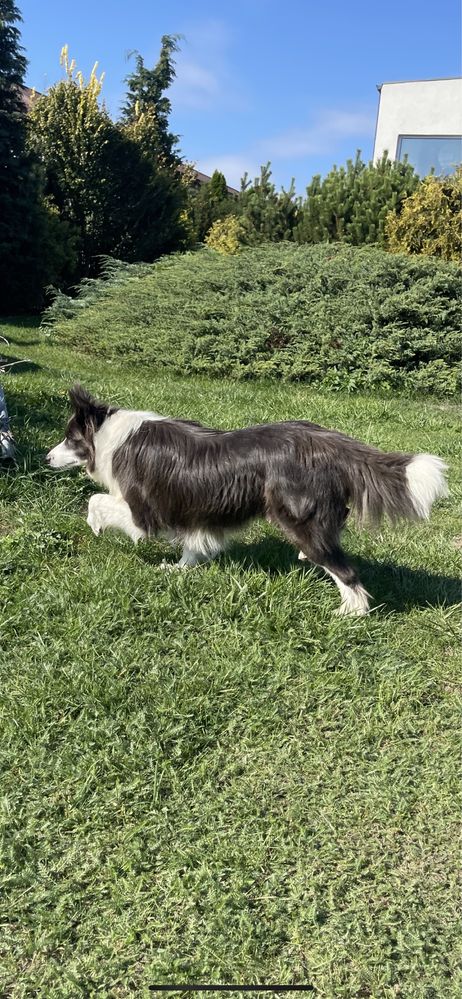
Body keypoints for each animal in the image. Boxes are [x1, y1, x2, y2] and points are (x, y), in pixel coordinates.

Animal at [47, 386, 448, 612]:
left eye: (70, 439)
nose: (47, 458)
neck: (109, 436)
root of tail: (327, 442)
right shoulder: (194, 507)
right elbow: (193, 541)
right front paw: (181, 568)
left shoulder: (144, 509)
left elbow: (96, 501)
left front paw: (96, 526)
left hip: (299, 518)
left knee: (345, 571)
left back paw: (351, 613)